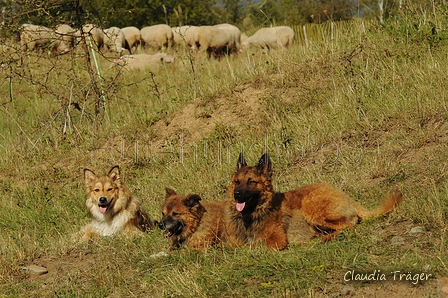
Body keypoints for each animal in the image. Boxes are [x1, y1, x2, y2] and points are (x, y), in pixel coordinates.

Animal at [226, 154, 404, 249]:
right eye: (237, 181)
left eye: (251, 181)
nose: (237, 194)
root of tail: (347, 198)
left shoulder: (277, 241)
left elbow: (253, 245)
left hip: (311, 207)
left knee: (349, 226)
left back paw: (326, 238)